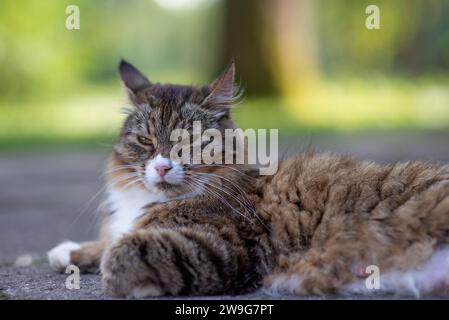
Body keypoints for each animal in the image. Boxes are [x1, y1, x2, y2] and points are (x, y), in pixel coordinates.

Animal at [46, 60, 449, 298]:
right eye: (145, 141)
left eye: (188, 142)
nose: (161, 167)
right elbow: (109, 240)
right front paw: (69, 251)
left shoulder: (225, 247)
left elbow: (124, 251)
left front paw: (123, 278)